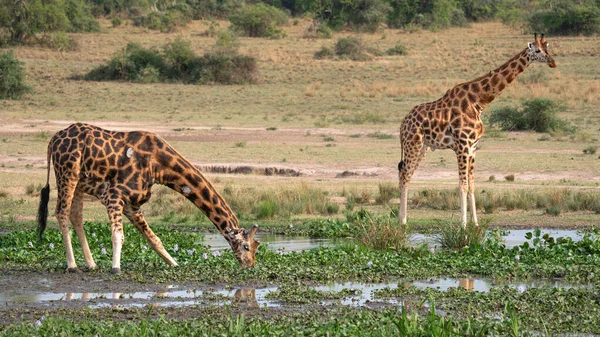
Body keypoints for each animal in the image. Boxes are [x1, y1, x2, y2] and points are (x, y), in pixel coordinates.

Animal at [37, 122, 258, 272]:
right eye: (246, 246)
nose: (250, 265)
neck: (158, 165)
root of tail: (53, 139)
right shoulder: (114, 195)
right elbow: (118, 235)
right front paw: (116, 268)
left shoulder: (132, 204)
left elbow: (154, 239)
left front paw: (174, 264)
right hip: (67, 173)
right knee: (61, 213)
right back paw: (72, 265)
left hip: (80, 183)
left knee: (76, 216)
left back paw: (91, 264)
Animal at [398, 34, 556, 226]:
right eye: (537, 51)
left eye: (548, 48)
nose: (553, 62)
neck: (478, 102)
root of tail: (403, 124)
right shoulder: (462, 146)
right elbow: (462, 186)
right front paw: (463, 226)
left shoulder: (473, 147)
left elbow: (472, 186)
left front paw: (475, 224)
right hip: (412, 144)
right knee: (405, 175)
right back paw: (402, 221)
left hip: (423, 147)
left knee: (406, 174)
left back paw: (403, 218)